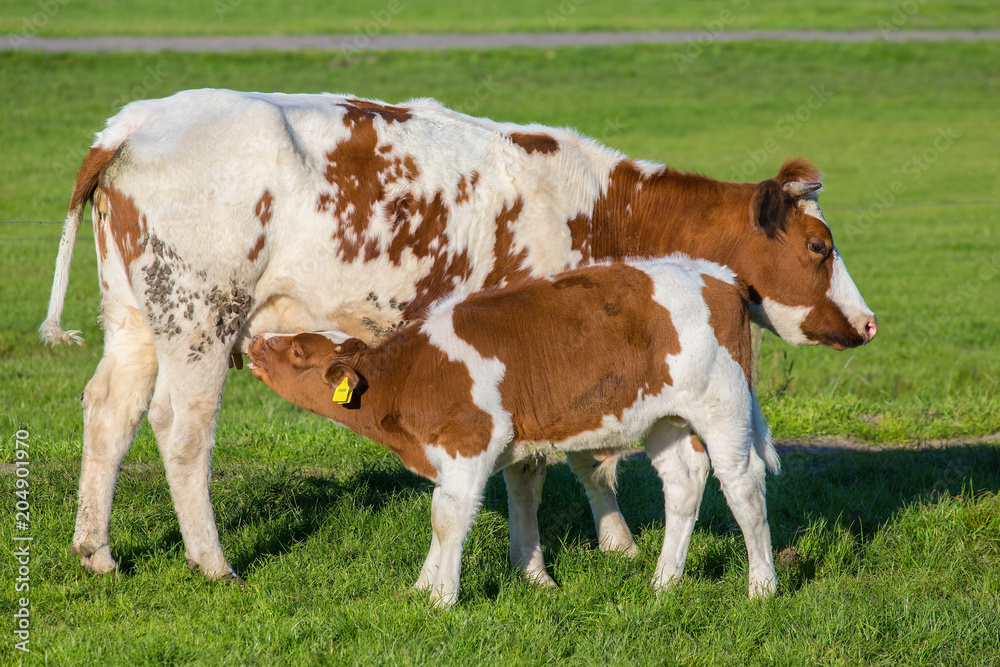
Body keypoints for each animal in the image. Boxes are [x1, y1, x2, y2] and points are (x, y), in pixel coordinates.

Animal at [246, 258, 776, 608]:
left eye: (297, 353)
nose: (255, 341)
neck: (411, 376)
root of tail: (719, 275)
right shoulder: (447, 457)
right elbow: (440, 515)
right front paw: (422, 587)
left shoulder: (470, 441)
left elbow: (449, 519)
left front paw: (442, 599)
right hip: (665, 418)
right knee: (684, 482)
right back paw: (664, 582)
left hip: (723, 405)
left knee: (743, 485)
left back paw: (762, 586)